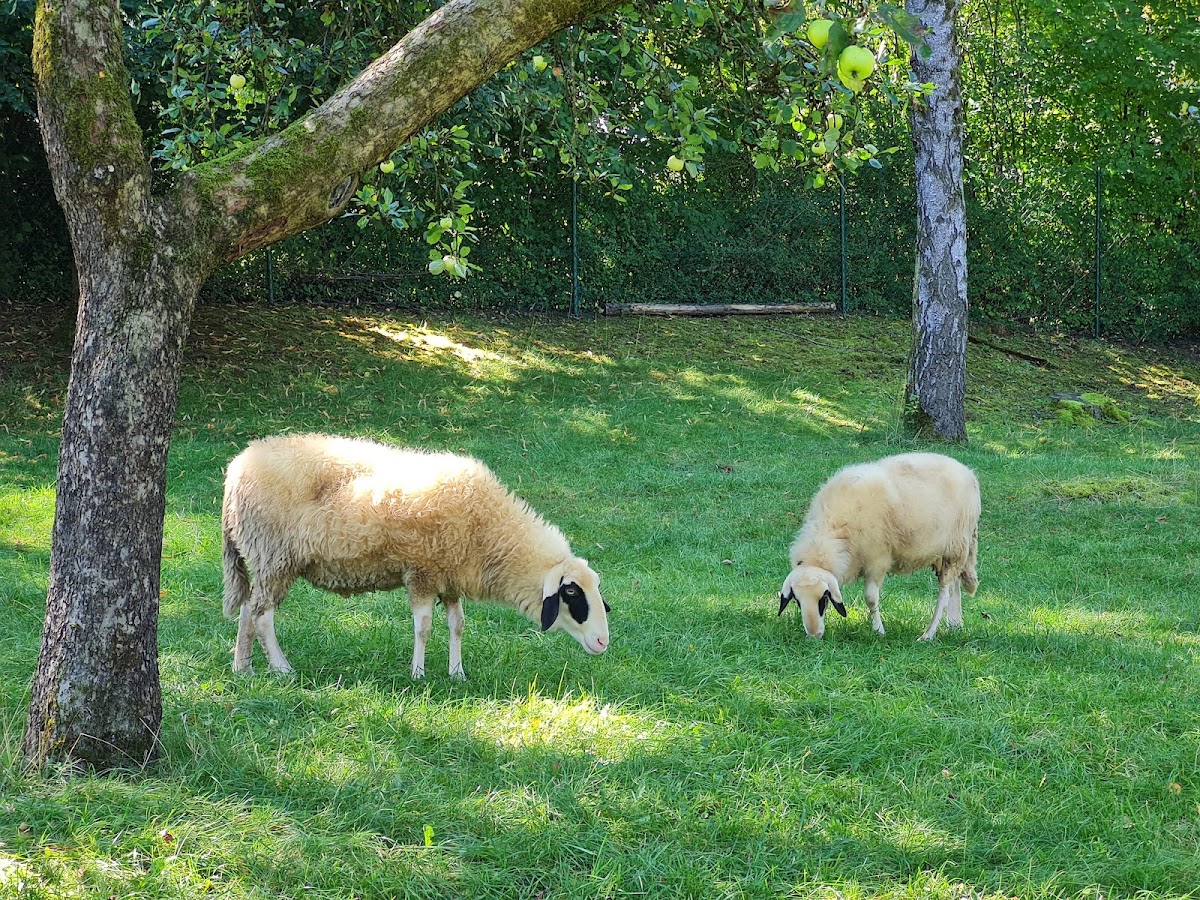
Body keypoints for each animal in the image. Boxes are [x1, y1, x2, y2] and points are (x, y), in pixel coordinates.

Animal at [221, 433, 611, 678]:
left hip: (265, 558)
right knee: (262, 614)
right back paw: (280, 668)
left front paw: (457, 673)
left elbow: (457, 625)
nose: (603, 642)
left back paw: (244, 667)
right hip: (275, 556)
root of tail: (238, 466)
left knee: (248, 608)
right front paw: (418, 673)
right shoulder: (422, 572)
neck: (490, 530)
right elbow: (423, 626)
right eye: (571, 592)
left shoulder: (450, 578)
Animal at [777, 452, 980, 641]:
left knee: (945, 592)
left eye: (823, 599)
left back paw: (927, 635)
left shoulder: (877, 560)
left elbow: (870, 598)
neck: (830, 530)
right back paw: (955, 625)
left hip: (956, 546)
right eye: (797, 601)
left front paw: (879, 631)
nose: (814, 635)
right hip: (947, 554)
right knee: (954, 585)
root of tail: (968, 473)